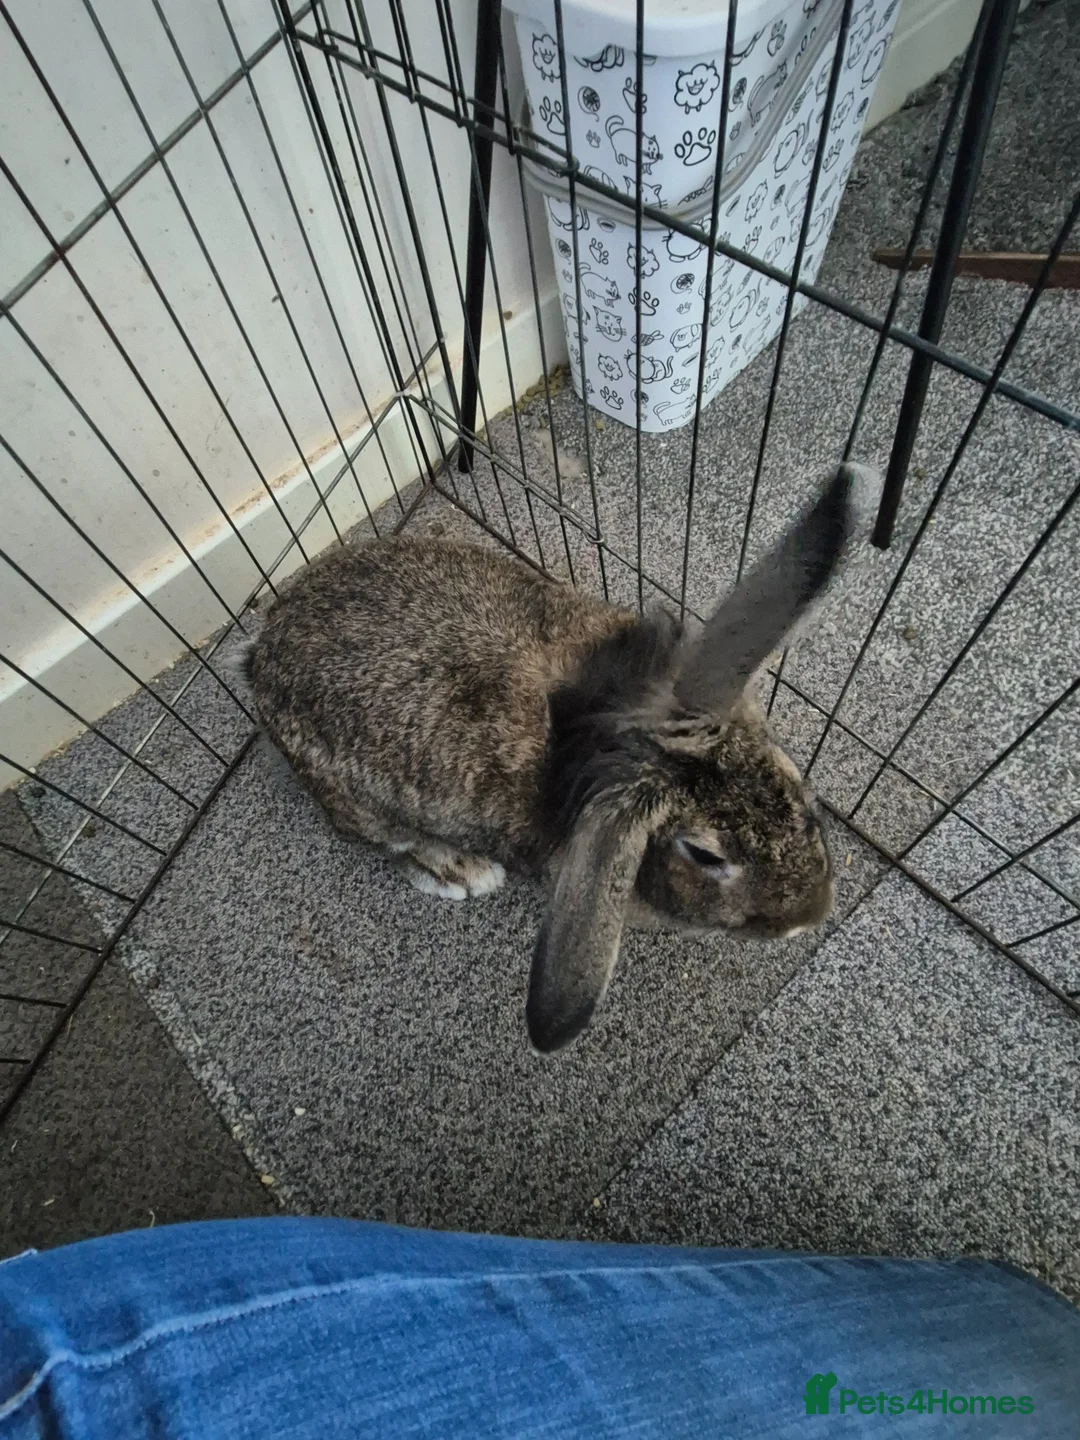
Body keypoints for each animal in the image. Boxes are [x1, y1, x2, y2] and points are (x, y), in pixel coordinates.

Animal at [246, 463, 874, 1053]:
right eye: (704, 854)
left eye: (791, 778)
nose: (812, 916)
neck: (609, 730)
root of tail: (255, 662)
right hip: (363, 803)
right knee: (387, 842)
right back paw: (461, 871)